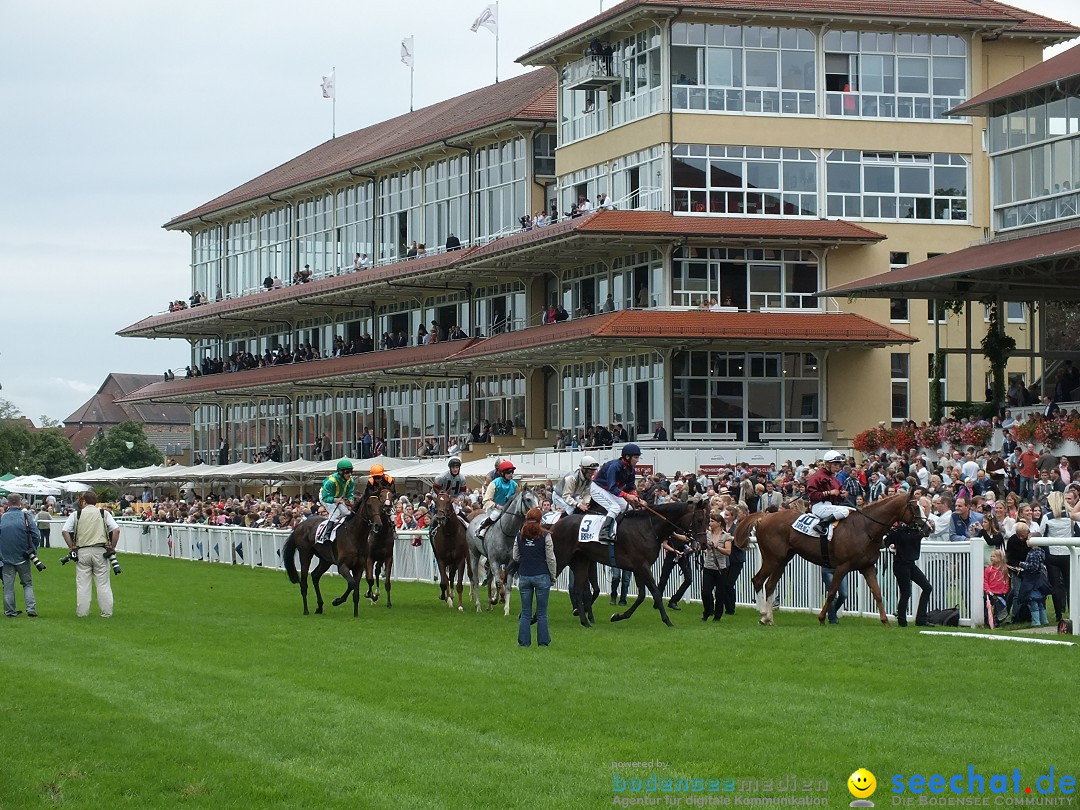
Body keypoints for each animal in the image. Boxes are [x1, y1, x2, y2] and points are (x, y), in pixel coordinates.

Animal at [466, 486, 540, 617]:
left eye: (538, 499)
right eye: (528, 499)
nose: (538, 514)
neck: (506, 533)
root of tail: (473, 519)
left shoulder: (510, 562)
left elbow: (508, 585)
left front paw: (506, 609)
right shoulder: (495, 561)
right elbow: (499, 582)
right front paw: (495, 600)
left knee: (490, 579)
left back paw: (489, 605)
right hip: (474, 554)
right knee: (475, 579)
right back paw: (478, 605)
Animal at [552, 505, 712, 630]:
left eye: (708, 520)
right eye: (699, 520)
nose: (704, 544)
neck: (649, 529)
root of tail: (556, 524)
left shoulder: (638, 568)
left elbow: (641, 596)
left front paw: (618, 616)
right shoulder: (643, 566)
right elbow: (656, 592)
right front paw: (667, 621)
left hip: (580, 561)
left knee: (578, 590)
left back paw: (584, 620)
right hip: (560, 558)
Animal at [734, 494, 928, 626]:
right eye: (915, 507)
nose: (927, 527)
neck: (865, 528)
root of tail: (764, 517)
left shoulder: (867, 567)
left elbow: (877, 593)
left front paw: (885, 621)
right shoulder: (843, 566)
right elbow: (832, 591)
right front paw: (822, 618)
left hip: (782, 559)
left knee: (769, 585)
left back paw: (769, 618)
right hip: (772, 558)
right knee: (758, 580)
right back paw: (762, 615)